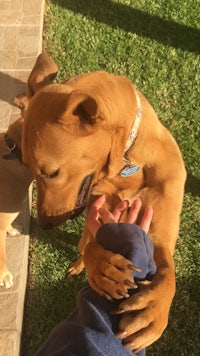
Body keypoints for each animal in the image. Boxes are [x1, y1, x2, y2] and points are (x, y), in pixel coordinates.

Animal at [21, 60, 186, 348]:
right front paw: (102, 268)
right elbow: (90, 245)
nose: (43, 224)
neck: (125, 169)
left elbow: (168, 273)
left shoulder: (160, 236)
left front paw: (154, 311)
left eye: (52, 173)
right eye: (27, 166)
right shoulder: (96, 215)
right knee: (83, 243)